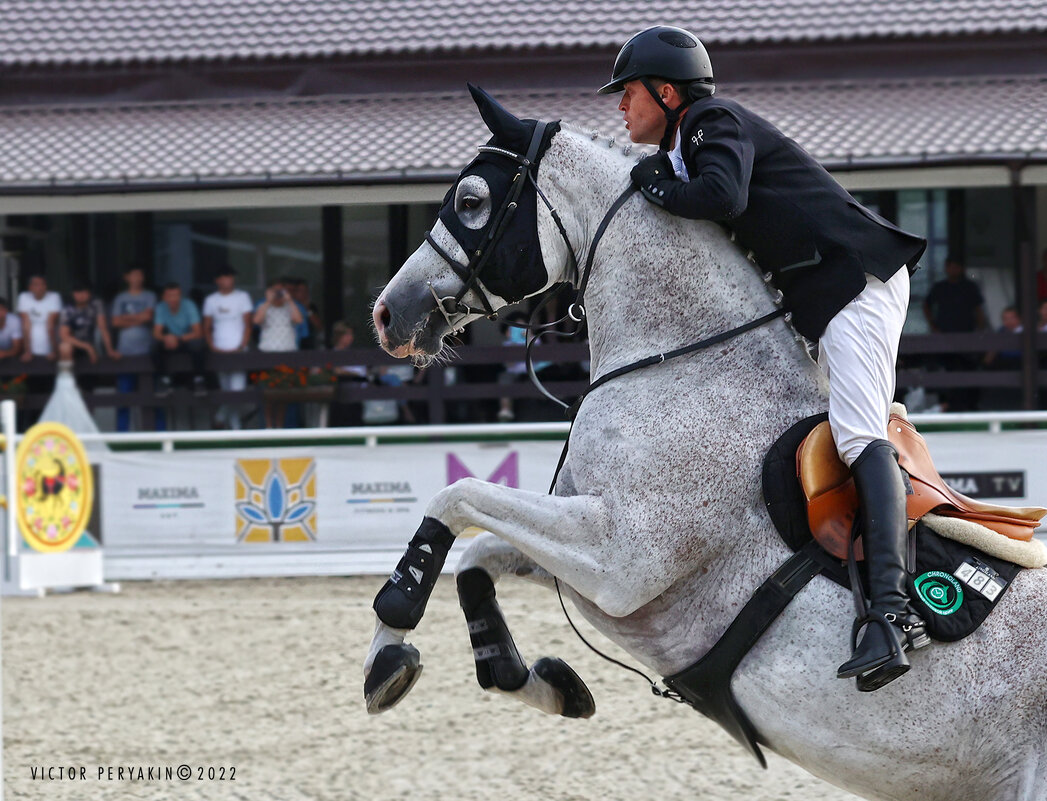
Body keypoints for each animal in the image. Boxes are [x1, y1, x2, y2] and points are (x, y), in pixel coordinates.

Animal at [362, 89, 1047, 799]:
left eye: (471, 201)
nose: (387, 314)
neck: (685, 362)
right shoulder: (588, 546)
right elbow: (475, 555)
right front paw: (539, 682)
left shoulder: (620, 559)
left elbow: (456, 496)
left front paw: (391, 633)